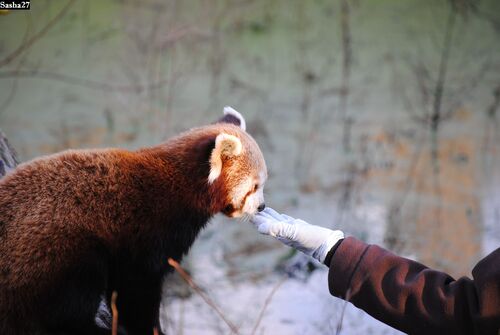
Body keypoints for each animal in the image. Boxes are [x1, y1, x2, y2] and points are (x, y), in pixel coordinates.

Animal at [0, 107, 268, 335]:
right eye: (255, 186)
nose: (262, 206)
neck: (181, 185)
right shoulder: (147, 234)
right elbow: (136, 292)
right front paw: (152, 329)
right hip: (61, 252)